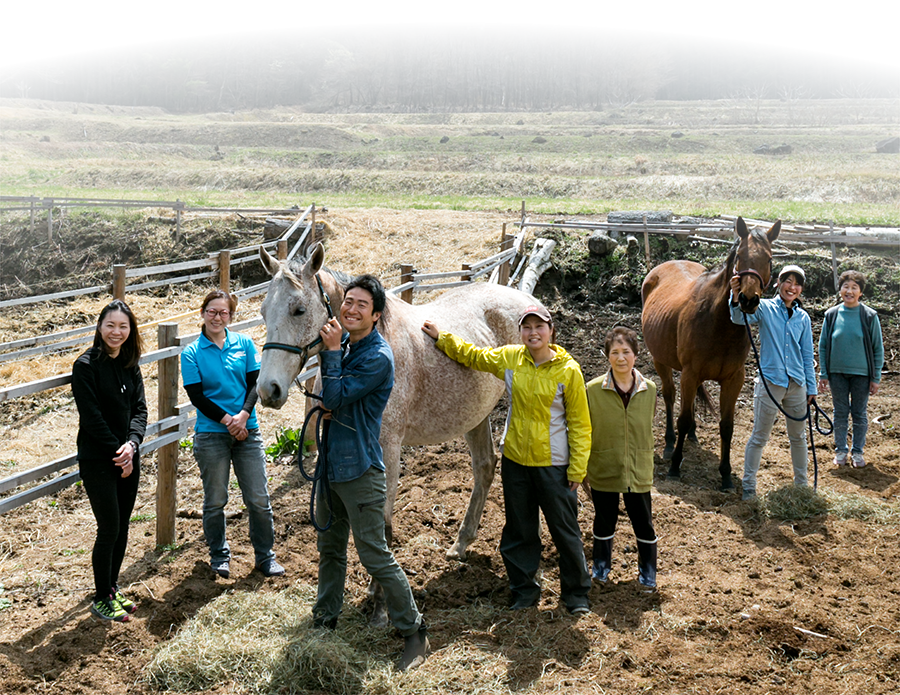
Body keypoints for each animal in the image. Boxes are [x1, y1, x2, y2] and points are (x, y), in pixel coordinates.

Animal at [253, 246, 536, 624]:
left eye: (298, 309)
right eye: (263, 311)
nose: (267, 390)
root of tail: (530, 302)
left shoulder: (386, 449)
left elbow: (382, 525)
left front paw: (379, 602)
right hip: (476, 414)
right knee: (485, 467)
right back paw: (461, 544)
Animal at [640, 218, 780, 490]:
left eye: (768, 259)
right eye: (739, 255)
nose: (748, 300)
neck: (719, 321)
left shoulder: (734, 379)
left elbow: (727, 426)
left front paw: (725, 475)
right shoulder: (690, 373)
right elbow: (682, 417)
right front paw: (675, 466)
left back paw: (693, 434)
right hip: (660, 360)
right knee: (670, 395)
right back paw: (670, 442)